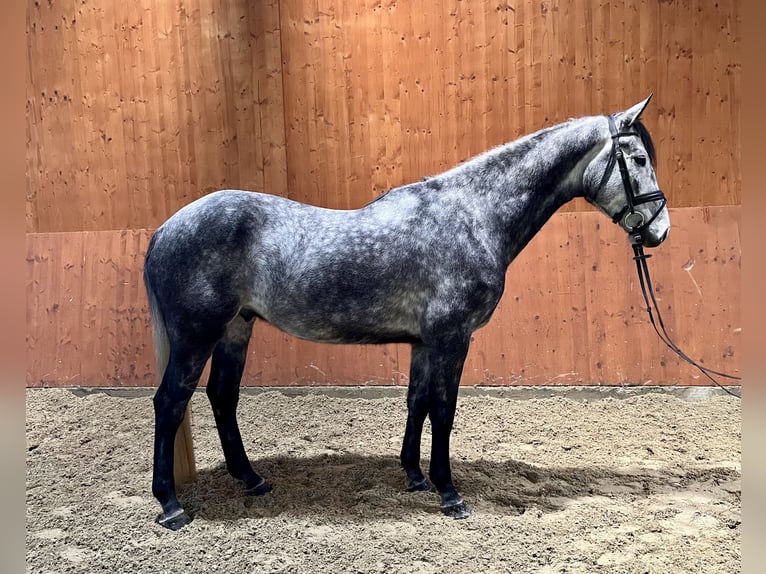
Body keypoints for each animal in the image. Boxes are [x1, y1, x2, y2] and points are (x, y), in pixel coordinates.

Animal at [144, 94, 672, 532]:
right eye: (639, 159)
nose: (660, 230)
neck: (472, 216)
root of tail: (165, 229)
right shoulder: (453, 337)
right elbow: (444, 409)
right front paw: (449, 493)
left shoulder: (423, 342)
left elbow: (416, 403)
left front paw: (415, 477)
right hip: (196, 335)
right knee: (170, 402)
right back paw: (171, 506)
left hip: (236, 328)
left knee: (222, 396)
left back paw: (251, 480)